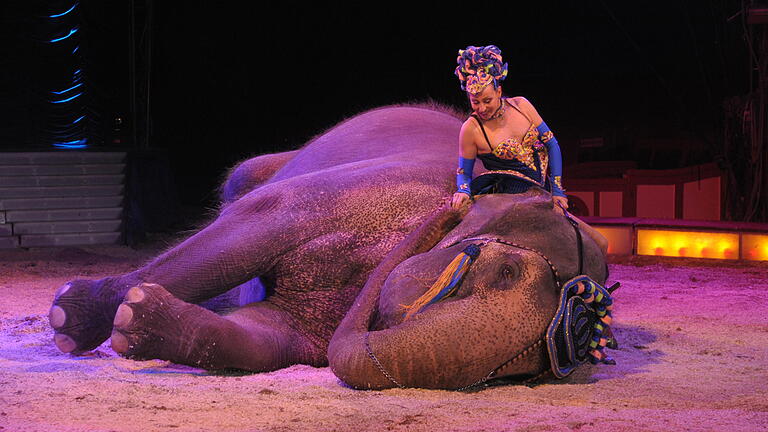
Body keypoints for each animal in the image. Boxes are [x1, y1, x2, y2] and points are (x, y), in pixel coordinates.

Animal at [48, 103, 612, 390]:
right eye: (504, 272)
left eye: (514, 374)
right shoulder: (361, 190)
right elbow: (257, 224)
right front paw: (70, 318)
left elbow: (265, 337)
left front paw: (135, 320)